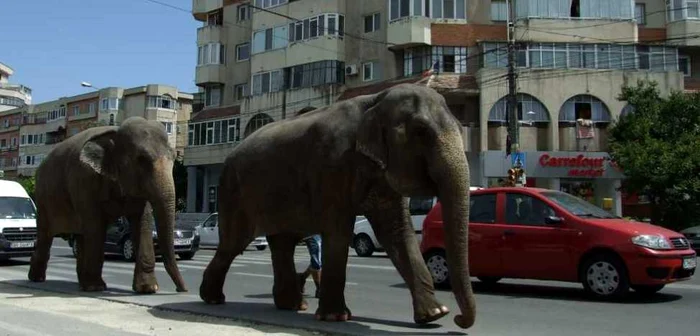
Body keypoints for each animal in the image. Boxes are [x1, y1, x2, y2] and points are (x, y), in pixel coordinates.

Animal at [27, 116, 187, 294]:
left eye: (174, 158)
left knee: (81, 236)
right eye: (141, 159)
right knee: (46, 236)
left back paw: (81, 283)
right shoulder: (84, 179)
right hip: (43, 199)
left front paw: (148, 289)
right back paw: (38, 278)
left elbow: (142, 223)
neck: (115, 133)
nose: (182, 290)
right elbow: (95, 225)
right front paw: (96, 287)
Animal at [200, 83, 478, 328]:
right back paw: (212, 299)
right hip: (233, 192)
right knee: (233, 244)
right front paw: (335, 317)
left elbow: (397, 232)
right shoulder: (331, 165)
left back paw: (293, 305)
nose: (459, 319)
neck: (374, 100)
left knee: (282, 245)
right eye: (421, 131)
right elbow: (338, 231)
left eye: (459, 125)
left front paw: (435, 315)